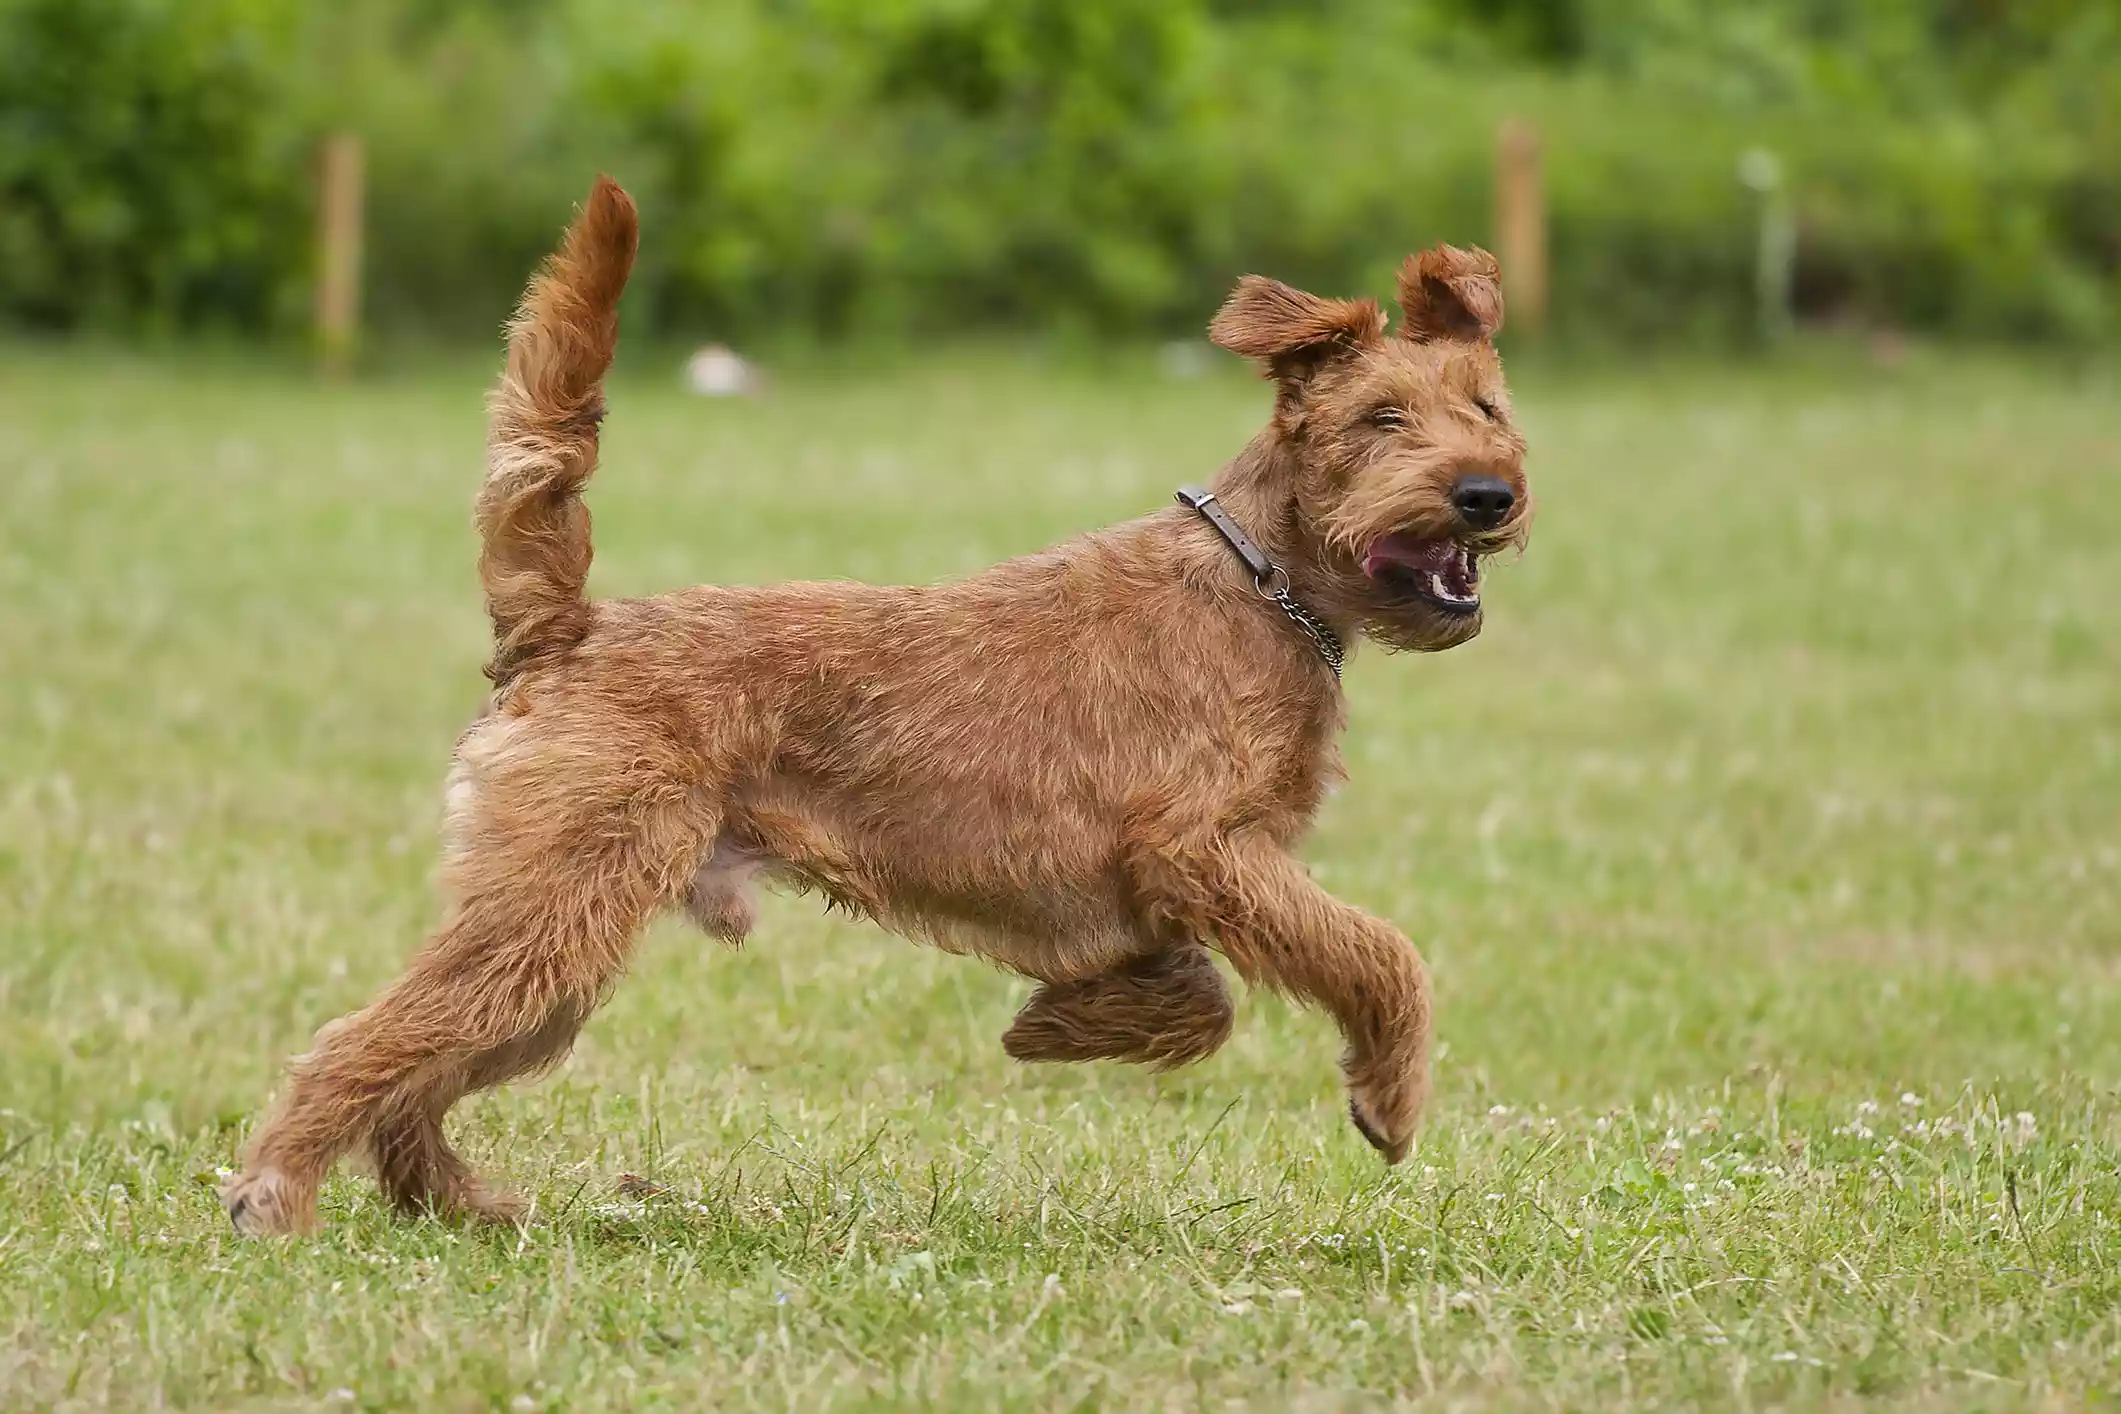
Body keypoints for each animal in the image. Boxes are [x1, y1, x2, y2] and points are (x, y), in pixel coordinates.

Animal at [219, 180, 1527, 1238]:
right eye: (1382, 419)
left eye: (1490, 408)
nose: (1489, 493)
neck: (1265, 582)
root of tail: (567, 629)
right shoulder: (1201, 845)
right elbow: (1378, 951)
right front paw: (1388, 1097)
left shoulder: (1174, 878)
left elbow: (1200, 993)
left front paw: (1064, 1026)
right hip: (559, 903)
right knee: (364, 1042)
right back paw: (276, 1195)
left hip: (558, 938)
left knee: (423, 1064)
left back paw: (452, 1199)